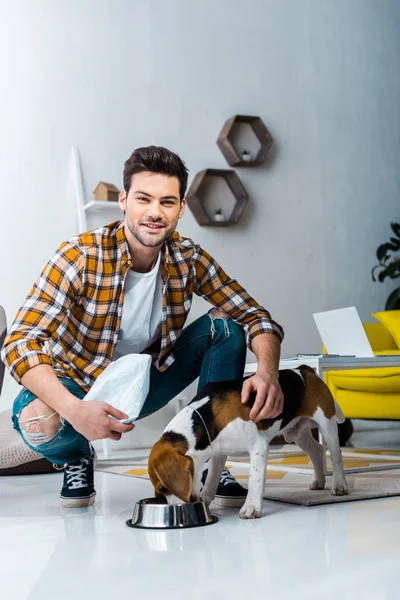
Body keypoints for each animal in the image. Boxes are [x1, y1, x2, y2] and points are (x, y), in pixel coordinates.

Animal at [148, 366, 348, 520]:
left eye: (163, 487)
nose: (178, 508)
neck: (206, 416)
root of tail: (304, 370)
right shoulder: (218, 453)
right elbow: (211, 480)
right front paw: (206, 499)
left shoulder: (258, 446)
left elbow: (255, 479)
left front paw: (251, 507)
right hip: (297, 434)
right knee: (317, 450)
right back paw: (319, 481)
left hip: (327, 425)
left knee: (336, 456)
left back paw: (339, 485)